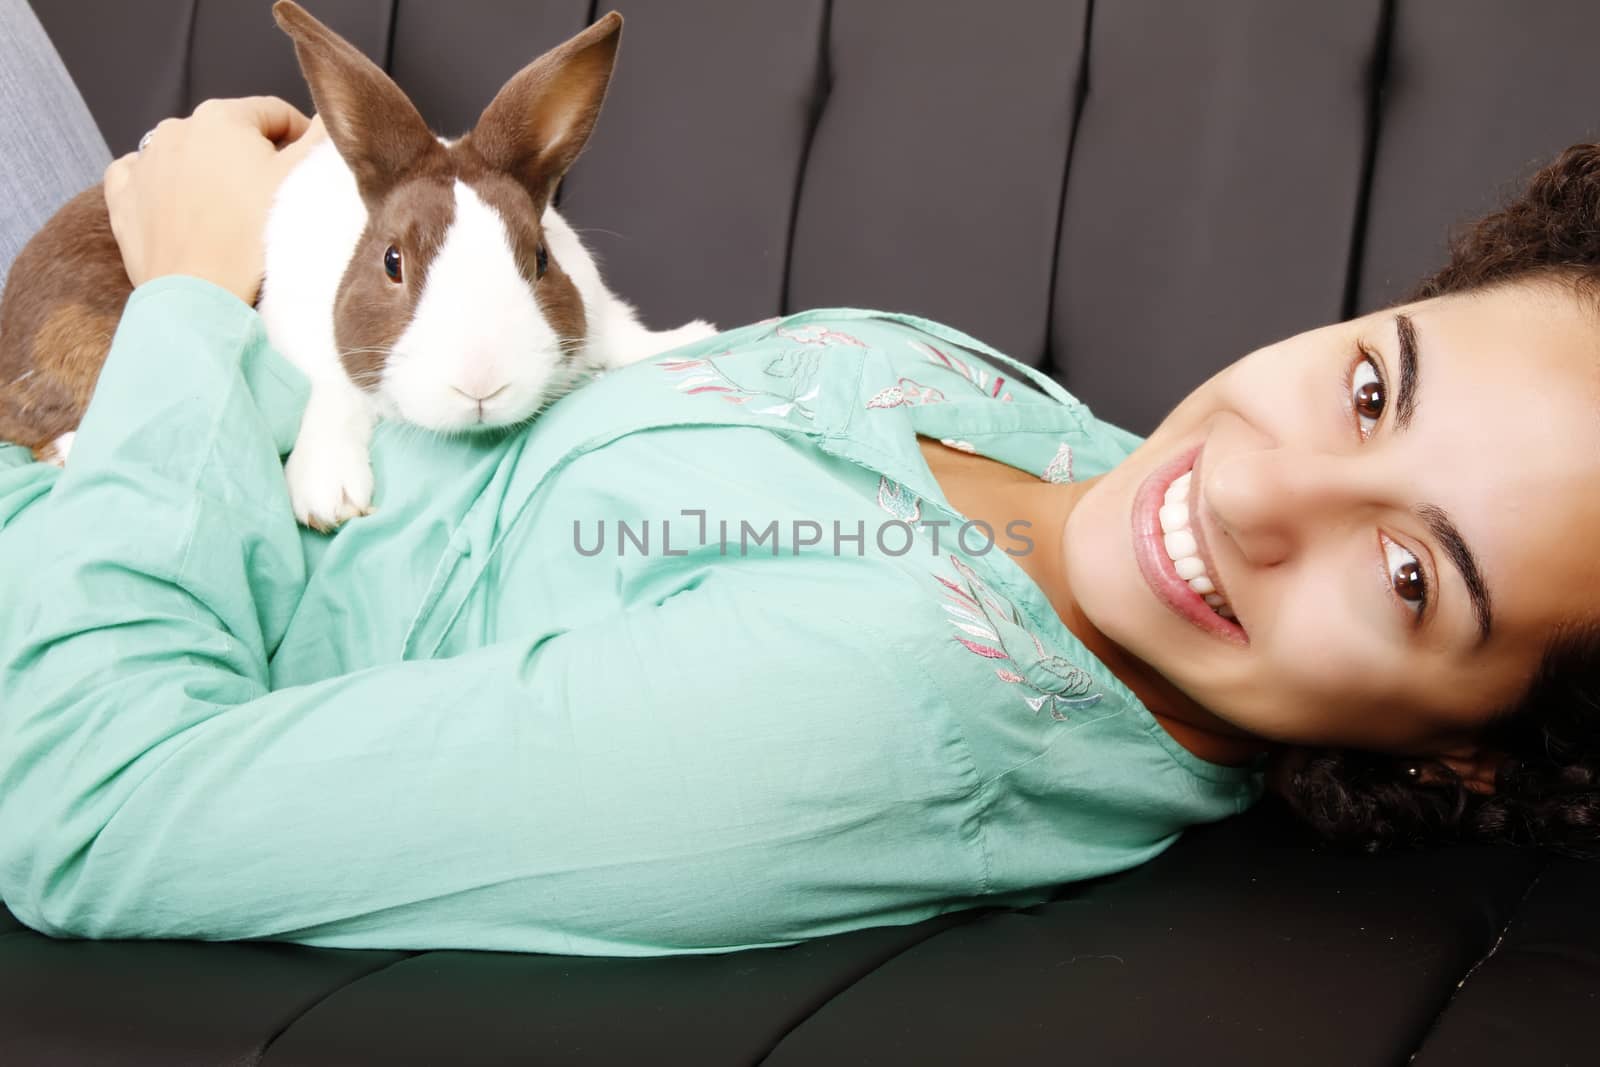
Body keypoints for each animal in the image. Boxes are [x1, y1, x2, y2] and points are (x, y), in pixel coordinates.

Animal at [0, 2, 713, 531]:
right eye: (392, 262)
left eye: (540, 260)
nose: (481, 387)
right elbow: (328, 400)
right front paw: (329, 495)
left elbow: (619, 333)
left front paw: (684, 338)